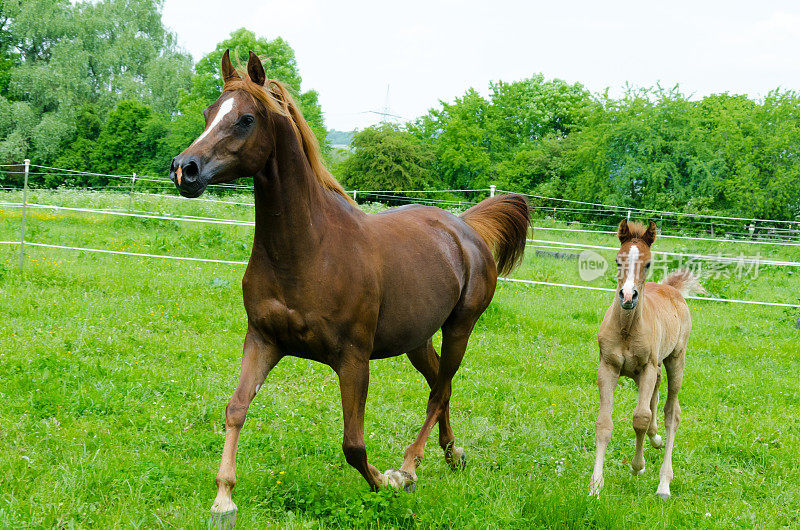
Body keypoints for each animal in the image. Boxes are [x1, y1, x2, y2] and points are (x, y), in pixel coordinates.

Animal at [169, 50, 532, 524]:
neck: (310, 249)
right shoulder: (263, 339)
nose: (184, 170)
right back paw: (453, 455)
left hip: (460, 329)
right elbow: (236, 407)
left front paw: (387, 483)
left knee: (439, 391)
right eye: (209, 113)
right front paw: (224, 498)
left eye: (246, 119)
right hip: (416, 340)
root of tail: (464, 228)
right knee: (442, 384)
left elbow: (354, 445)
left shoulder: (353, 359)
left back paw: (410, 466)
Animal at [588, 220, 708, 500]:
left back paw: (664, 483)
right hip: (646, 371)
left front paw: (637, 466)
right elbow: (604, 424)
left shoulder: (647, 368)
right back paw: (656, 439)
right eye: (618, 260)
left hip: (675, 361)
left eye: (649, 263)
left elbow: (640, 418)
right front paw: (595, 485)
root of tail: (671, 288)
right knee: (655, 398)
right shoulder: (607, 367)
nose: (627, 296)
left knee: (671, 412)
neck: (627, 329)